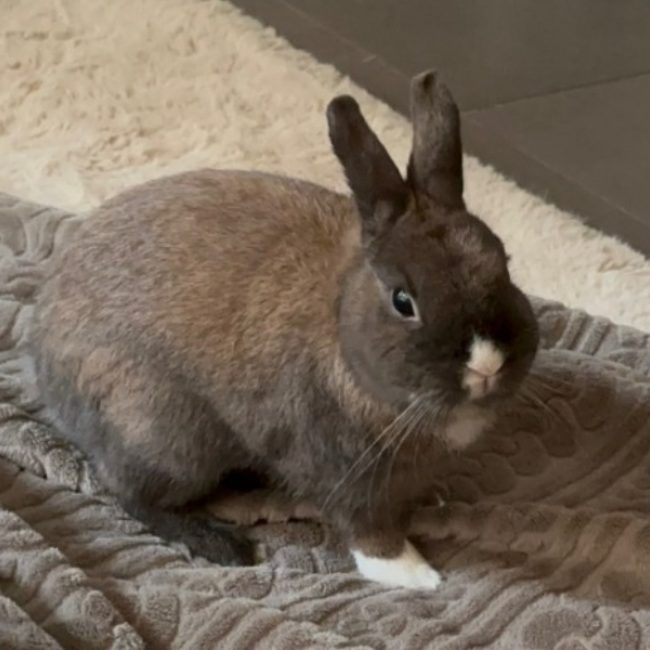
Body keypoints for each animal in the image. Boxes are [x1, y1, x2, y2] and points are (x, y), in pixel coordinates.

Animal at [30, 70, 539, 589]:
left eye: (504, 264)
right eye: (403, 300)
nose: (487, 364)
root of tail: (44, 361)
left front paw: (433, 501)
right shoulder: (341, 471)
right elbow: (368, 528)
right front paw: (414, 575)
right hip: (161, 433)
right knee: (130, 494)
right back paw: (222, 544)